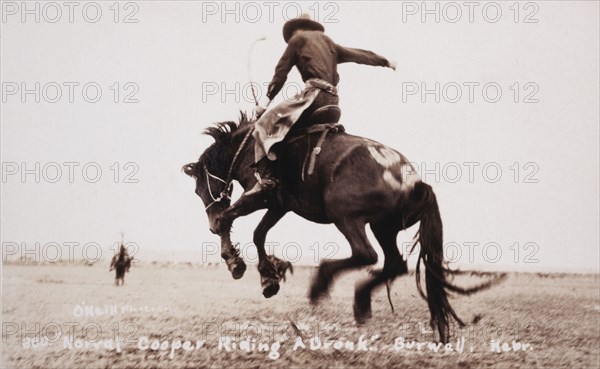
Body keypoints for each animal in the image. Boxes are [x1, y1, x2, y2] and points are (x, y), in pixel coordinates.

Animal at [184, 112, 506, 342]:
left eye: (200, 189)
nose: (208, 224)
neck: (251, 147)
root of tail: (414, 181)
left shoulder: (262, 195)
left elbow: (231, 220)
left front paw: (236, 263)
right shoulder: (280, 204)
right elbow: (258, 233)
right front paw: (269, 278)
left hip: (346, 216)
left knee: (366, 255)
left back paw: (323, 283)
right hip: (383, 226)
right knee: (394, 263)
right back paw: (361, 302)